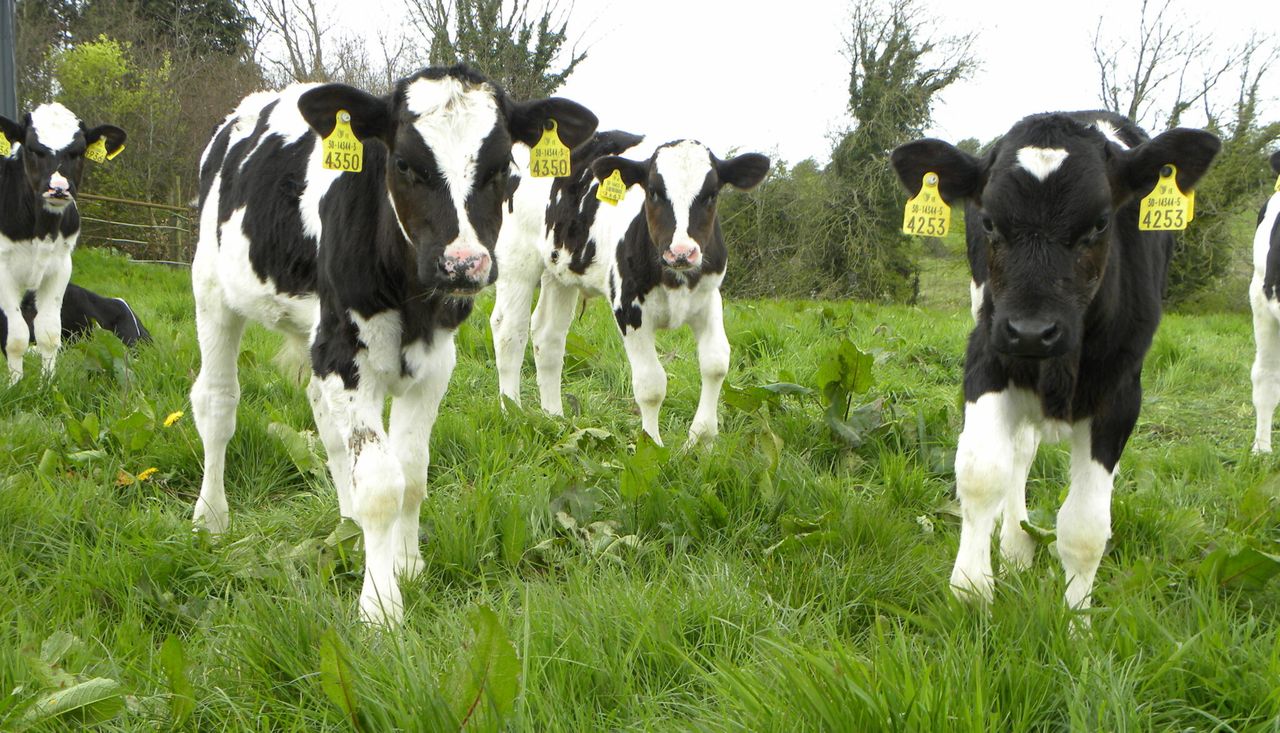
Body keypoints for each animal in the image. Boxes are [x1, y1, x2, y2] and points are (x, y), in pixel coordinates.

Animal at [0, 104, 126, 382]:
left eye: (78, 151)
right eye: (32, 148)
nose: (58, 188)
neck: (41, 231)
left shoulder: (59, 266)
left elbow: (48, 333)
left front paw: (46, 385)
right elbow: (16, 337)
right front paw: (15, 385)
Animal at [190, 65, 596, 625]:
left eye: (502, 168)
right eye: (403, 163)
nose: (462, 264)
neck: (410, 297)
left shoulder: (434, 361)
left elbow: (412, 472)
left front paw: (405, 564)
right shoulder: (344, 353)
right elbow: (383, 484)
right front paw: (380, 607)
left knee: (328, 426)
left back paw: (347, 524)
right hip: (212, 290)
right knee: (216, 404)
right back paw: (211, 517)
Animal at [489, 132, 769, 446]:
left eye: (711, 194)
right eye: (654, 192)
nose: (681, 252)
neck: (674, 278)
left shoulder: (708, 298)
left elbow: (716, 363)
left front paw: (702, 441)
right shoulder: (629, 307)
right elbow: (651, 384)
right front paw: (652, 445)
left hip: (559, 270)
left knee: (548, 336)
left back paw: (555, 418)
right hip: (516, 259)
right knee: (509, 332)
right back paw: (512, 413)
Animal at [892, 111, 1219, 614]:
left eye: (1100, 223)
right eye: (988, 221)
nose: (1030, 330)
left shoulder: (1121, 395)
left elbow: (1085, 527)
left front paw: (1076, 622)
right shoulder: (986, 355)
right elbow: (982, 473)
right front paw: (971, 592)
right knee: (1019, 452)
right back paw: (1013, 549)